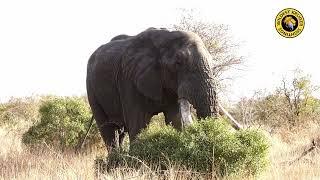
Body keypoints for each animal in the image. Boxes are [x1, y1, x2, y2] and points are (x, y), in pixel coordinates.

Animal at [86, 27, 225, 150]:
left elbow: (175, 119)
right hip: (91, 88)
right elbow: (139, 124)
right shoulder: (128, 79)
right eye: (178, 63)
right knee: (108, 130)